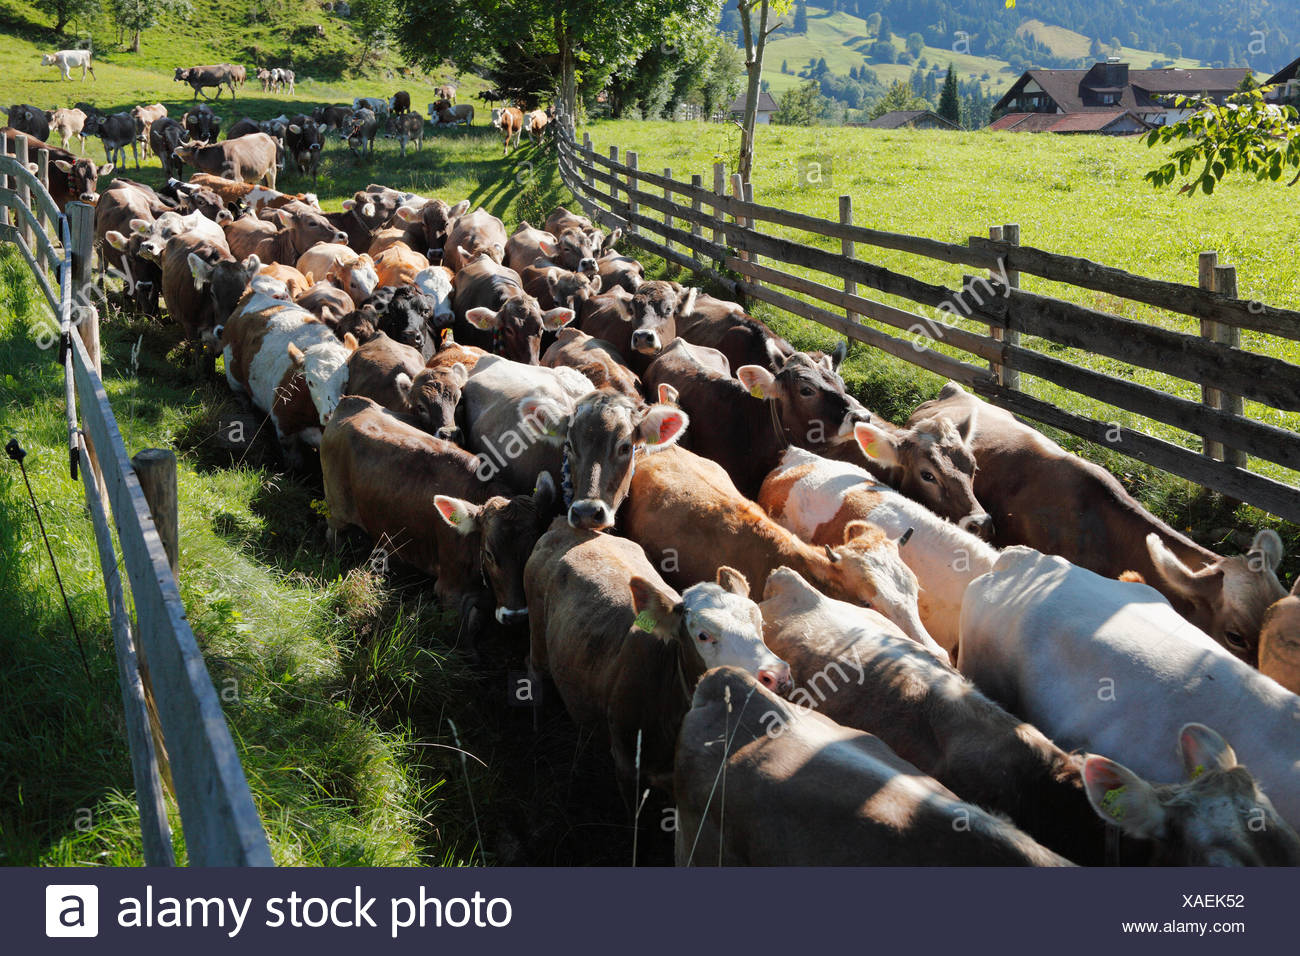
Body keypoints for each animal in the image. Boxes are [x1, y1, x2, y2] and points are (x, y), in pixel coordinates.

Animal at [522, 522, 785, 801]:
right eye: (703, 635)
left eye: (760, 622)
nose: (778, 675)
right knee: (534, 668)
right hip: (538, 636)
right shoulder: (628, 768)